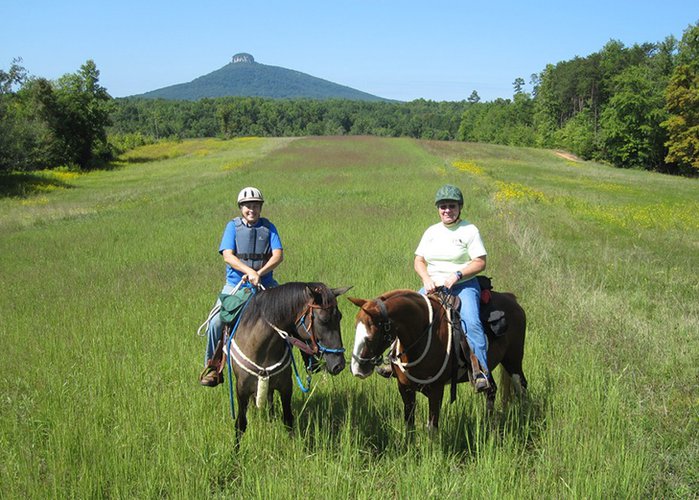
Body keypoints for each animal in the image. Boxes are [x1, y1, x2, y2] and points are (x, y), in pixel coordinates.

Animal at [227, 284, 352, 436]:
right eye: (324, 320)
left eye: (340, 316)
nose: (339, 365)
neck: (261, 348)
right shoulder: (241, 390)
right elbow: (240, 425)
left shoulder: (286, 386)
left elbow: (288, 420)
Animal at [350, 290, 532, 430]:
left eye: (370, 337)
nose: (357, 369)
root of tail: (511, 298)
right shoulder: (405, 389)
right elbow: (409, 425)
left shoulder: (436, 391)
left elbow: (432, 428)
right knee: (491, 390)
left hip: (513, 360)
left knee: (521, 386)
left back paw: (524, 419)